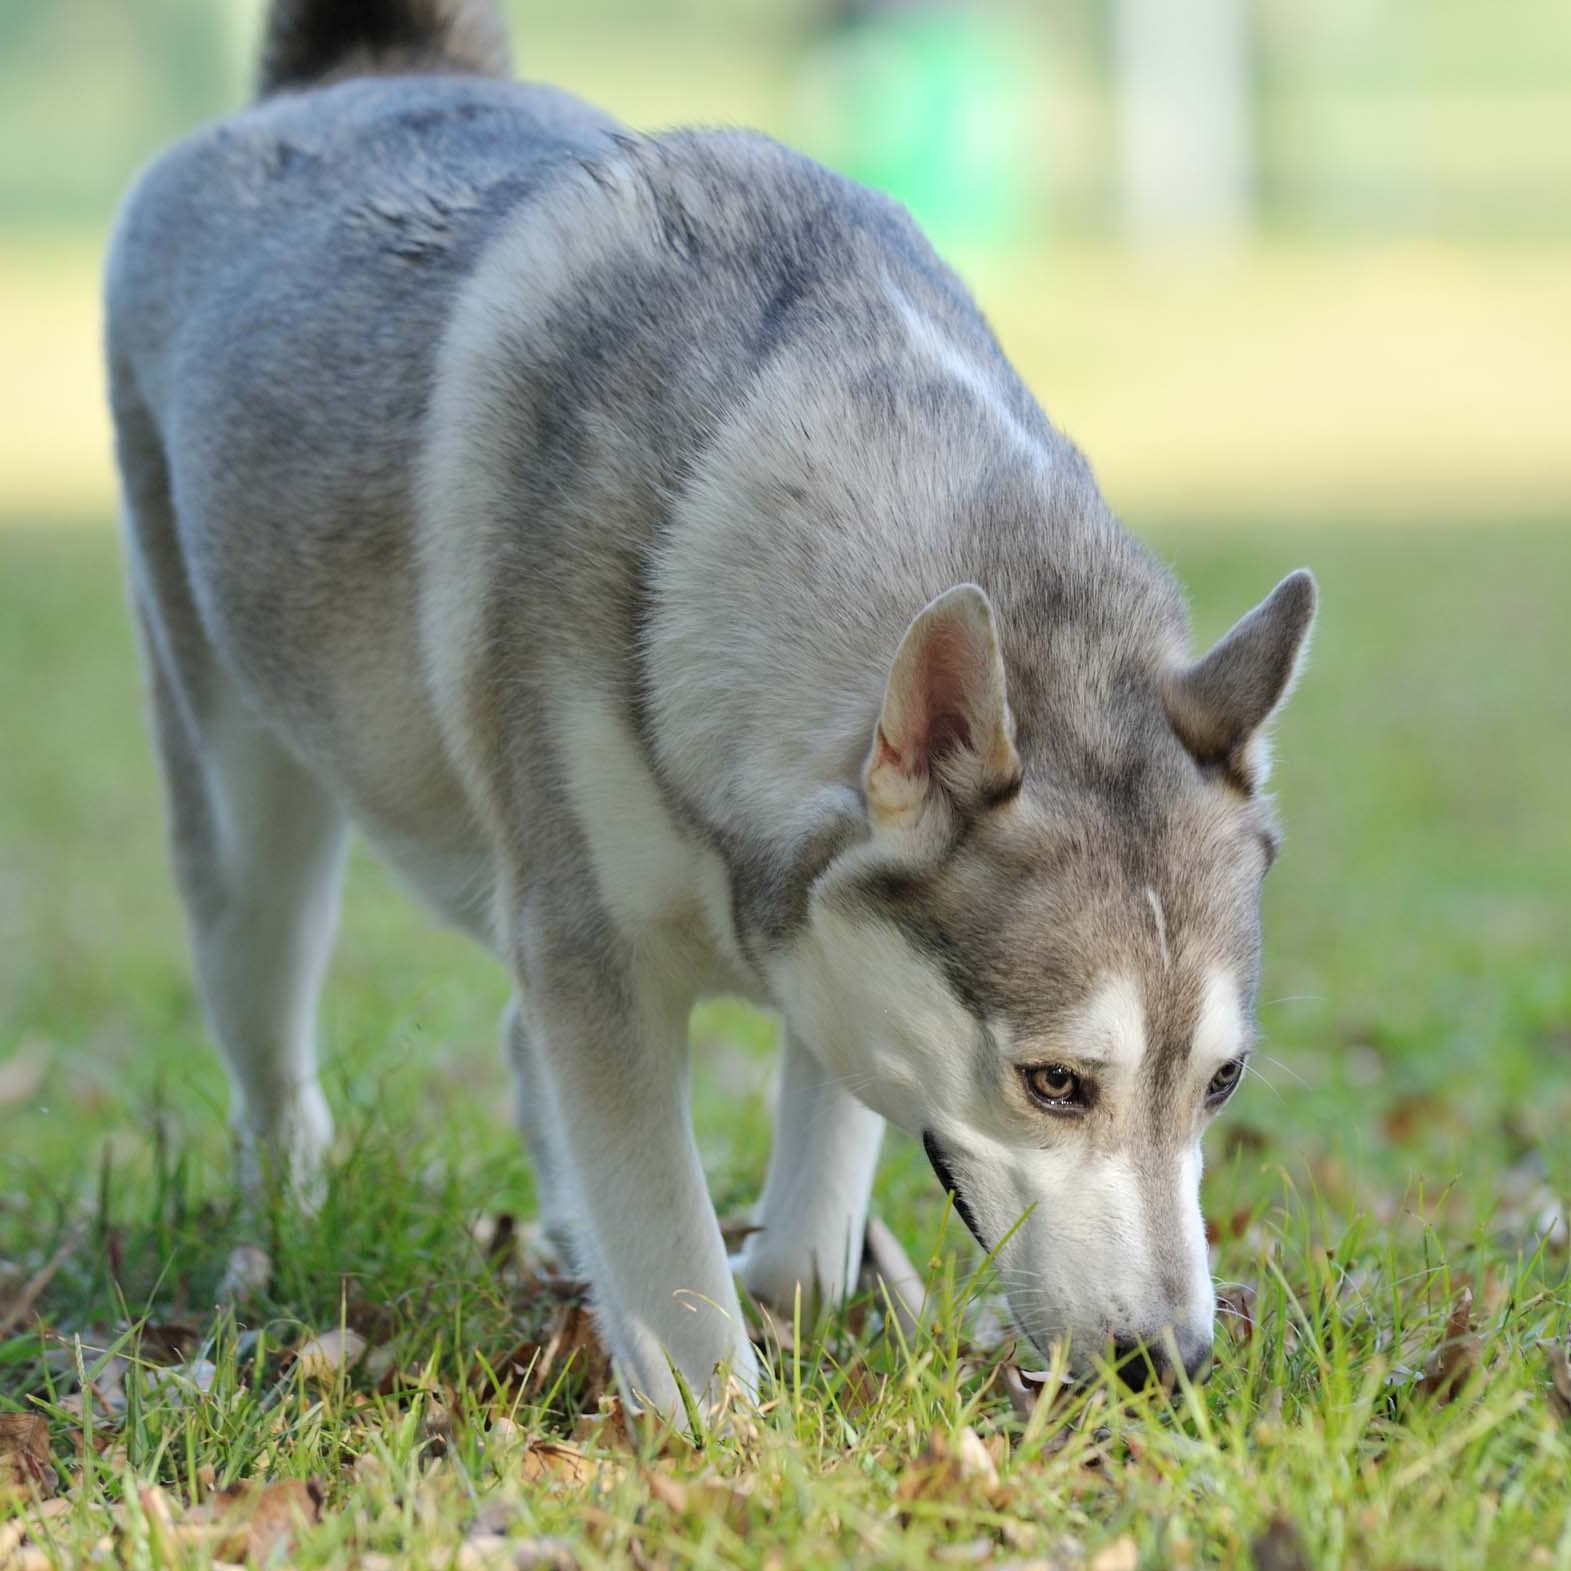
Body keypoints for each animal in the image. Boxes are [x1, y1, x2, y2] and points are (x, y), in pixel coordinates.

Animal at [104, 0, 1319, 1413]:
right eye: (1056, 1081)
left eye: (1221, 1080)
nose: (1168, 1361)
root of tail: (363, 75)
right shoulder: (594, 954)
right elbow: (669, 1248)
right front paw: (710, 1421)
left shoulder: (826, 948)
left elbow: (803, 1233)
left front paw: (768, 1288)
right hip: (251, 836)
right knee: (276, 1062)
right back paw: (283, 1229)